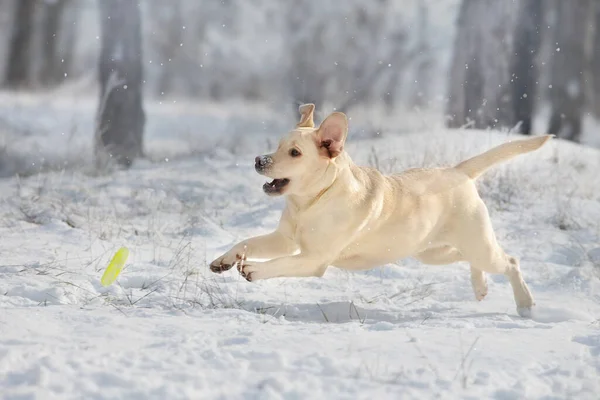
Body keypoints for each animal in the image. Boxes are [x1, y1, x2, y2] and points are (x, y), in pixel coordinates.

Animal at [211, 104, 552, 318]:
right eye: (278, 145)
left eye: (294, 153)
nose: (259, 160)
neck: (310, 203)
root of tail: (458, 172)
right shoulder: (284, 238)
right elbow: (246, 242)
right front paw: (224, 260)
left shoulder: (313, 259)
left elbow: (280, 263)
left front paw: (253, 269)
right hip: (434, 251)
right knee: (469, 260)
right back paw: (480, 288)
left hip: (476, 243)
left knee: (510, 261)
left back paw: (525, 303)